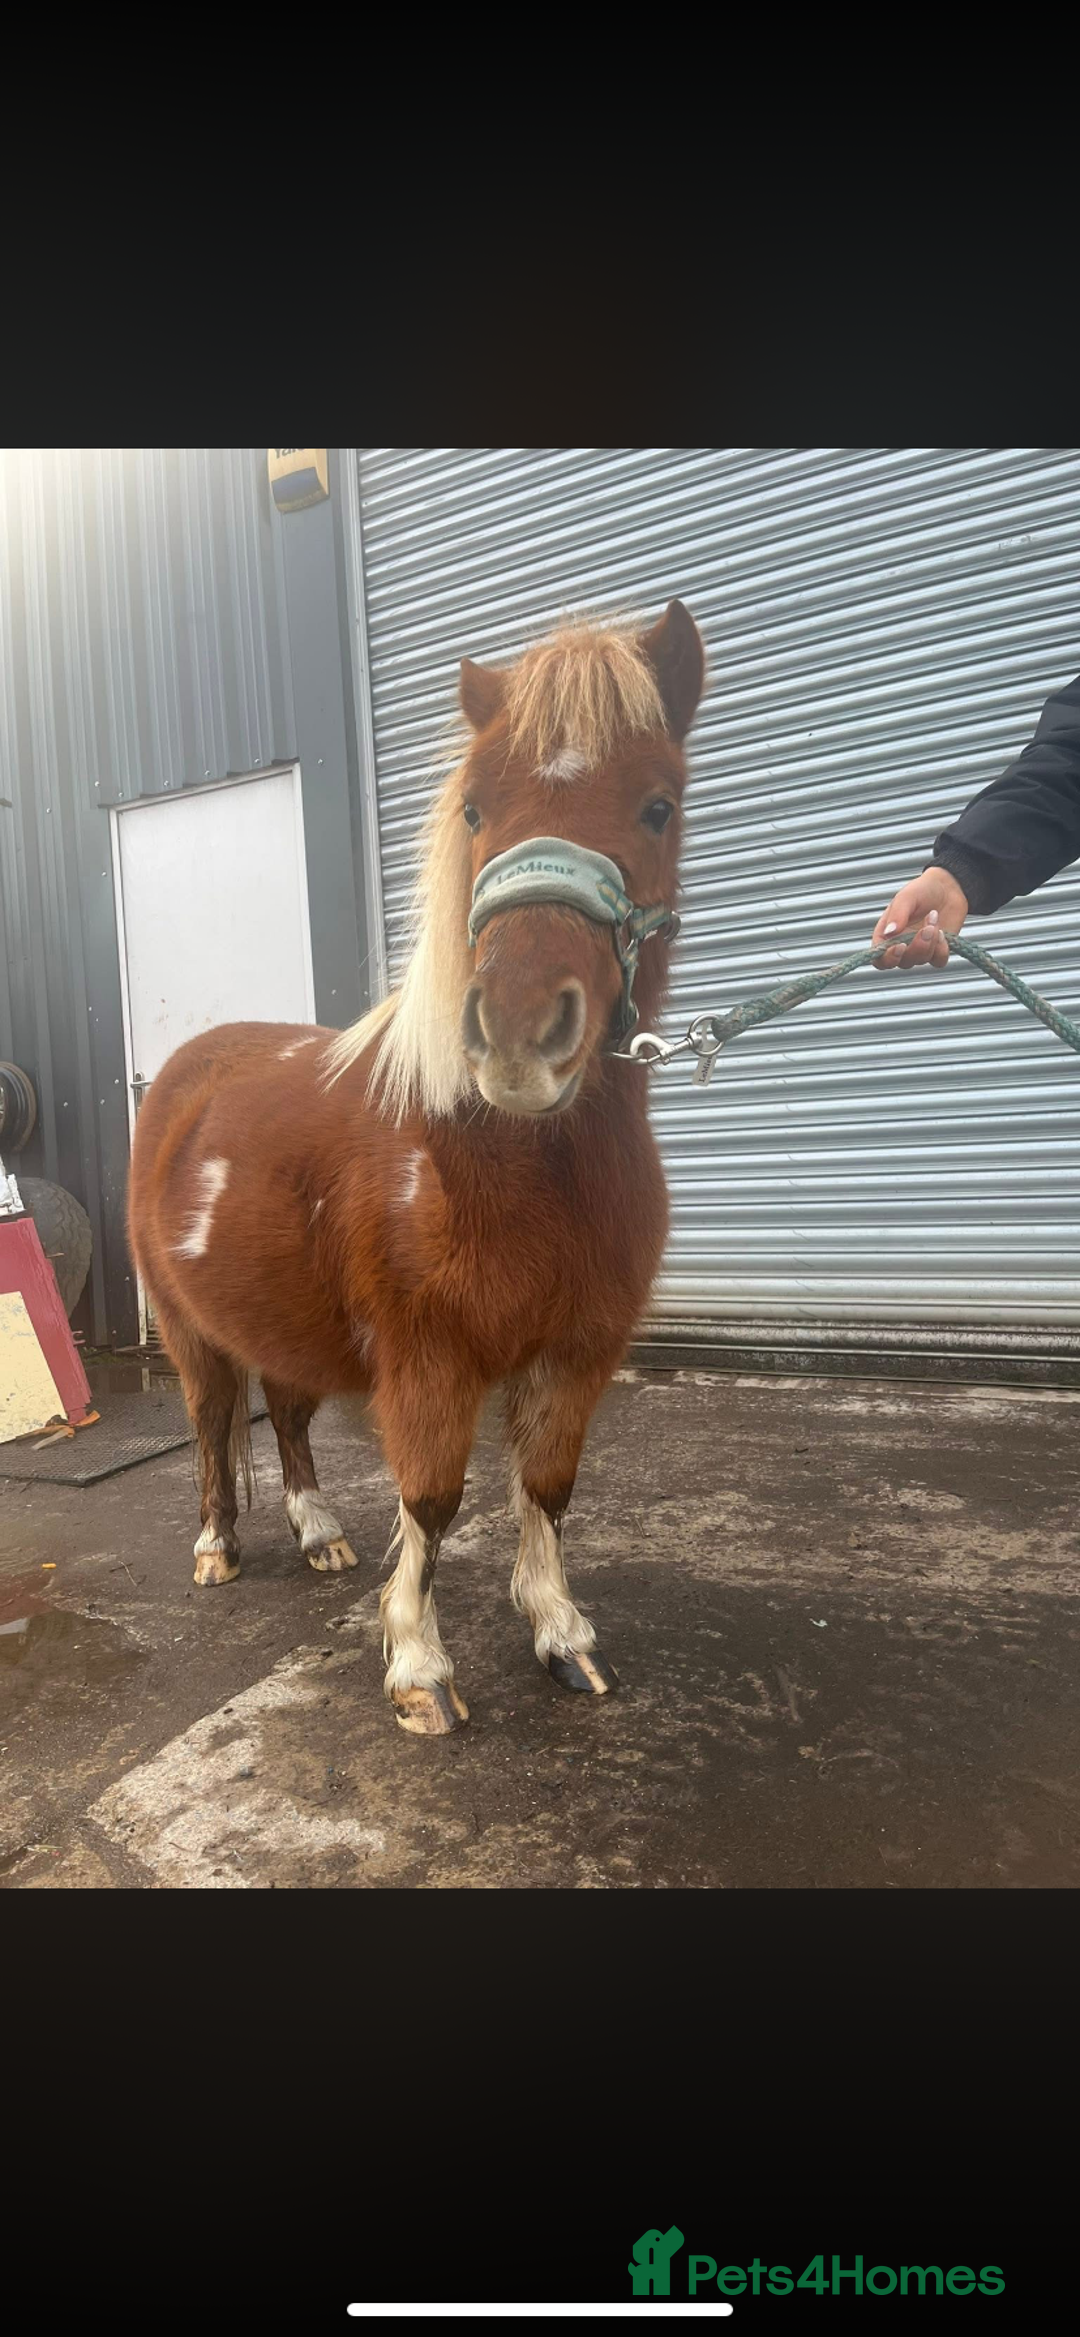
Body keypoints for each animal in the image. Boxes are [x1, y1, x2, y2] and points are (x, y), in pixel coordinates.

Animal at [127, 600, 706, 1734]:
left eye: (658, 806)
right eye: (477, 809)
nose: (520, 1034)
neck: (501, 1163)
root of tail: (181, 1074)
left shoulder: (576, 1352)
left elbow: (548, 1489)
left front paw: (562, 1635)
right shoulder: (427, 1361)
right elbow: (433, 1504)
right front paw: (418, 1668)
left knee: (288, 1416)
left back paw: (318, 1534)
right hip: (189, 1328)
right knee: (213, 1423)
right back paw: (217, 1548)